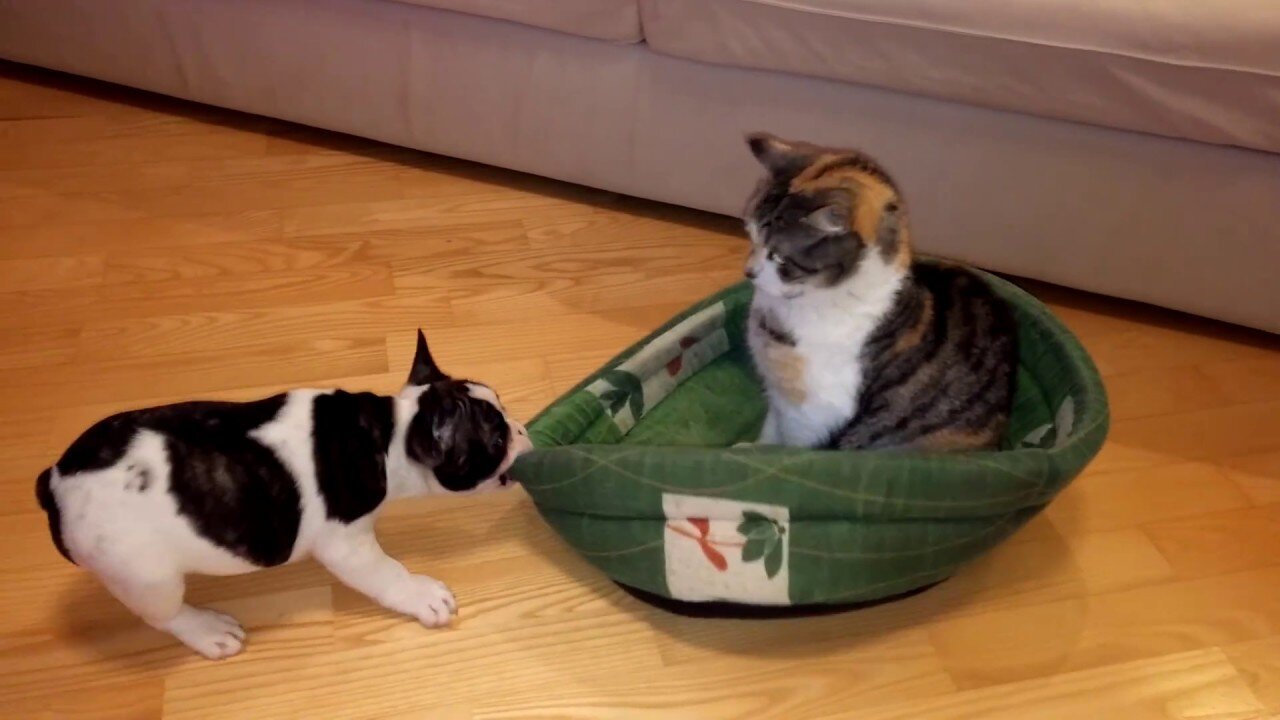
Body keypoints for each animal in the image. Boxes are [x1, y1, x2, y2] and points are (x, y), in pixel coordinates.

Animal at [35, 330, 532, 655]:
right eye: (495, 439)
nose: (522, 428)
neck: (390, 432)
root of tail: (55, 483)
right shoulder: (346, 543)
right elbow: (386, 572)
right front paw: (423, 595)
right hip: (145, 574)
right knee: (163, 614)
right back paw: (208, 630)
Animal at [742, 133, 1018, 448]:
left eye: (779, 257)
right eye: (751, 236)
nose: (748, 272)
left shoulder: (811, 413)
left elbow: (789, 450)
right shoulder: (778, 398)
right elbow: (770, 431)